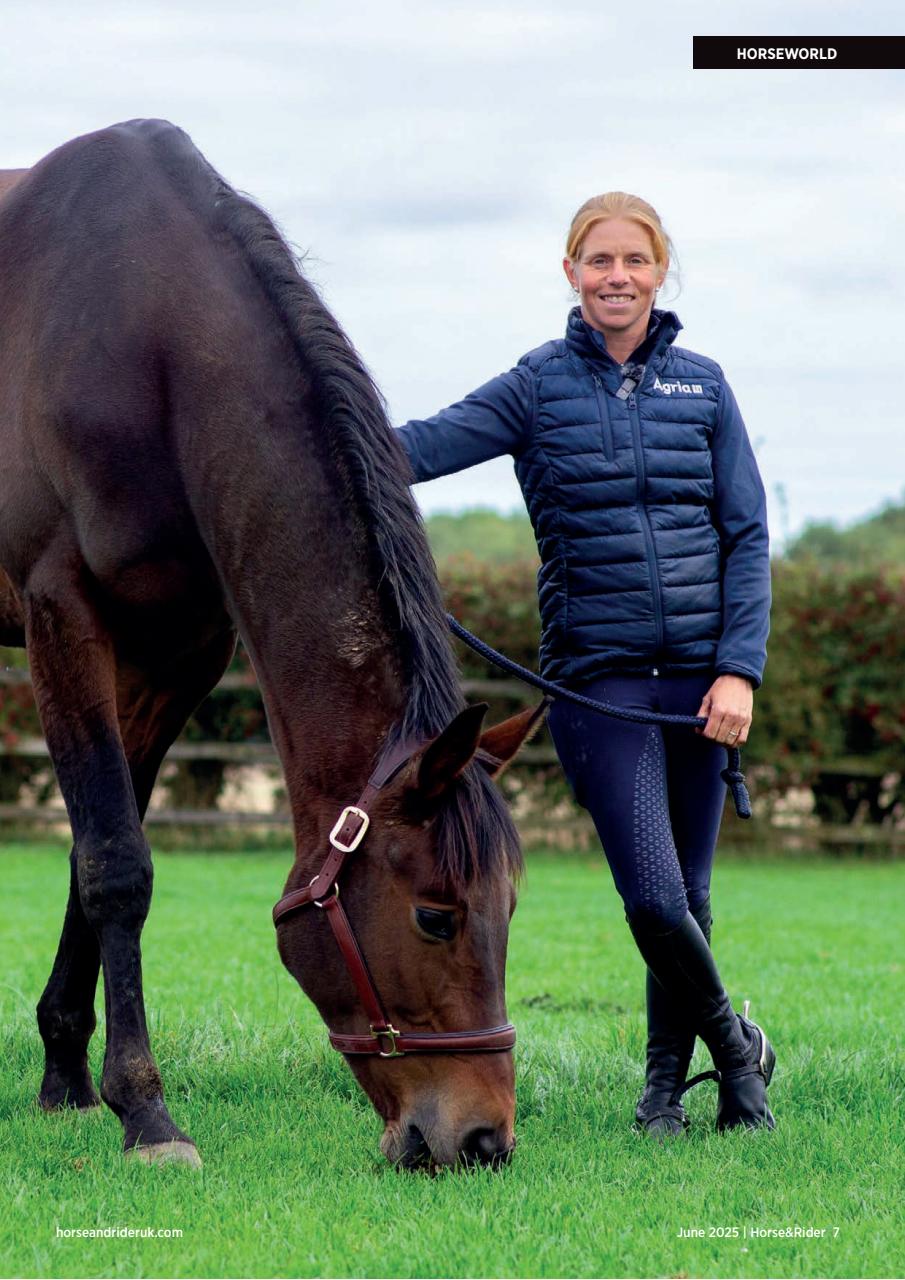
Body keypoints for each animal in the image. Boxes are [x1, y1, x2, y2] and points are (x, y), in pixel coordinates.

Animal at [0, 120, 543, 1169]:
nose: (481, 1139)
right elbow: (117, 865)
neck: (144, 344)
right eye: (435, 914)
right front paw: (146, 1112)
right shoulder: (63, 619)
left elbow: (95, 857)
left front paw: (67, 1079)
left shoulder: (176, 656)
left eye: (510, 909)